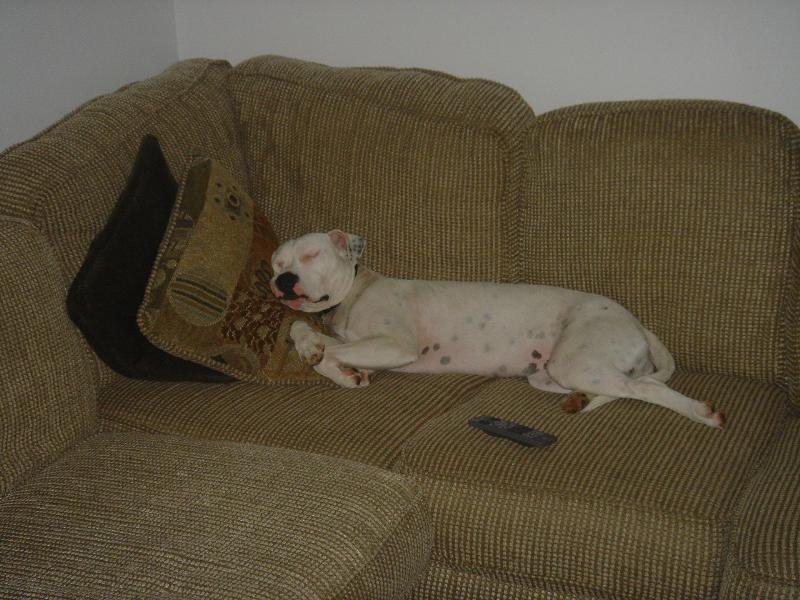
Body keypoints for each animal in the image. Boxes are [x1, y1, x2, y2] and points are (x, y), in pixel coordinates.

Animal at [270, 230, 725, 428]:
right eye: (276, 263)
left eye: (310, 255)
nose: (283, 281)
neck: (354, 291)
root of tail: (639, 324)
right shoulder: (363, 345)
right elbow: (303, 332)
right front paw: (340, 371)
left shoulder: (392, 345)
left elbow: (326, 348)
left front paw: (323, 360)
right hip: (551, 375)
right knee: (621, 386)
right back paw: (580, 400)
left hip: (573, 361)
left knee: (645, 387)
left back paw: (702, 413)